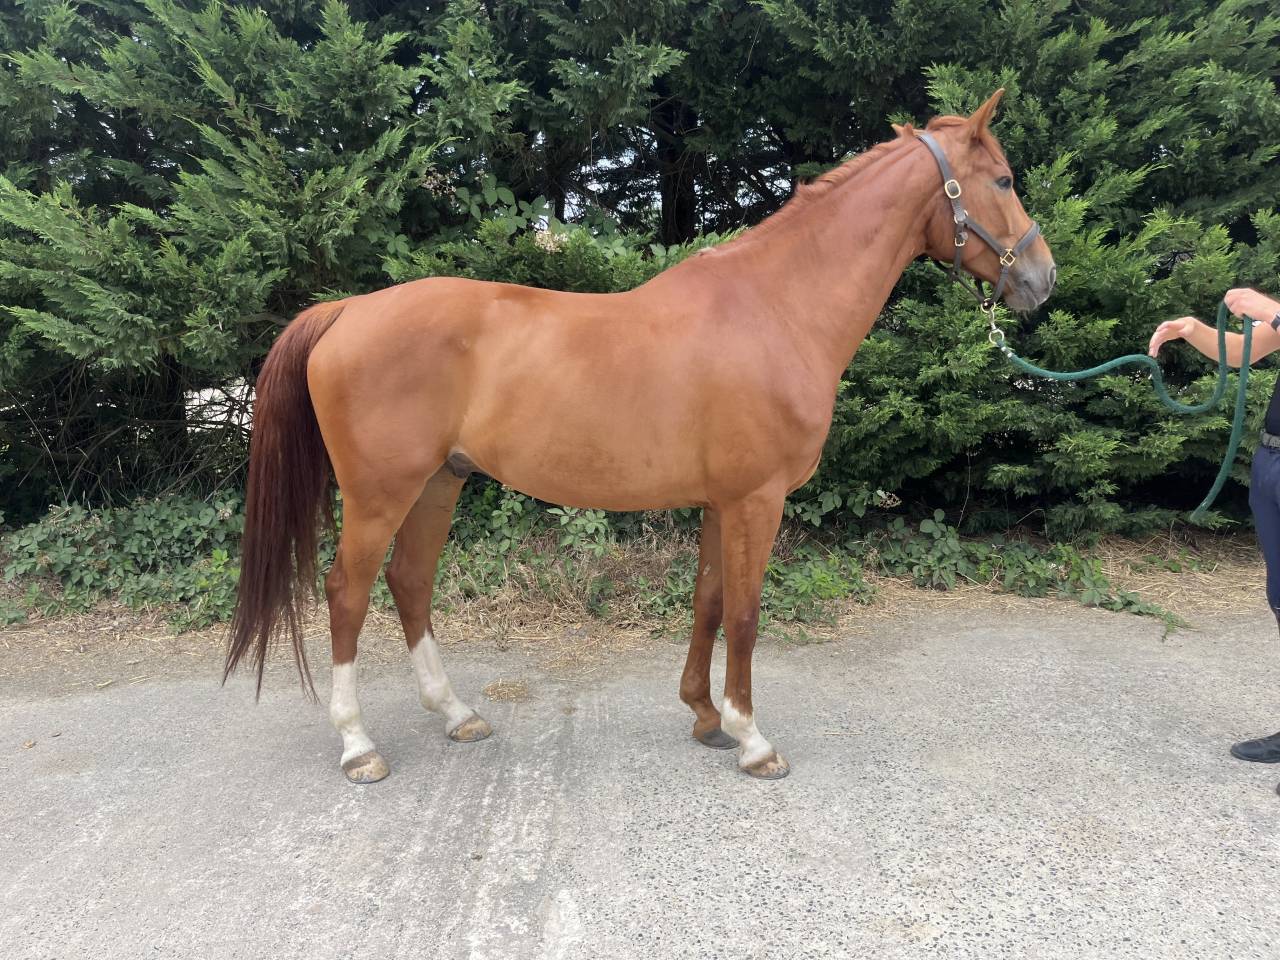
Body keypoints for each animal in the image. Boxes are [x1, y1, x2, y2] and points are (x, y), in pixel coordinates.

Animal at [224, 89, 1056, 783]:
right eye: (1004, 180)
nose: (1043, 281)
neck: (776, 307)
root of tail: (347, 309)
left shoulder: (722, 503)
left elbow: (709, 602)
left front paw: (707, 717)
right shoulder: (757, 501)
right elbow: (746, 613)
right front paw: (753, 740)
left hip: (439, 482)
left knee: (409, 582)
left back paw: (457, 714)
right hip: (380, 493)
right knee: (347, 592)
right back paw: (358, 745)